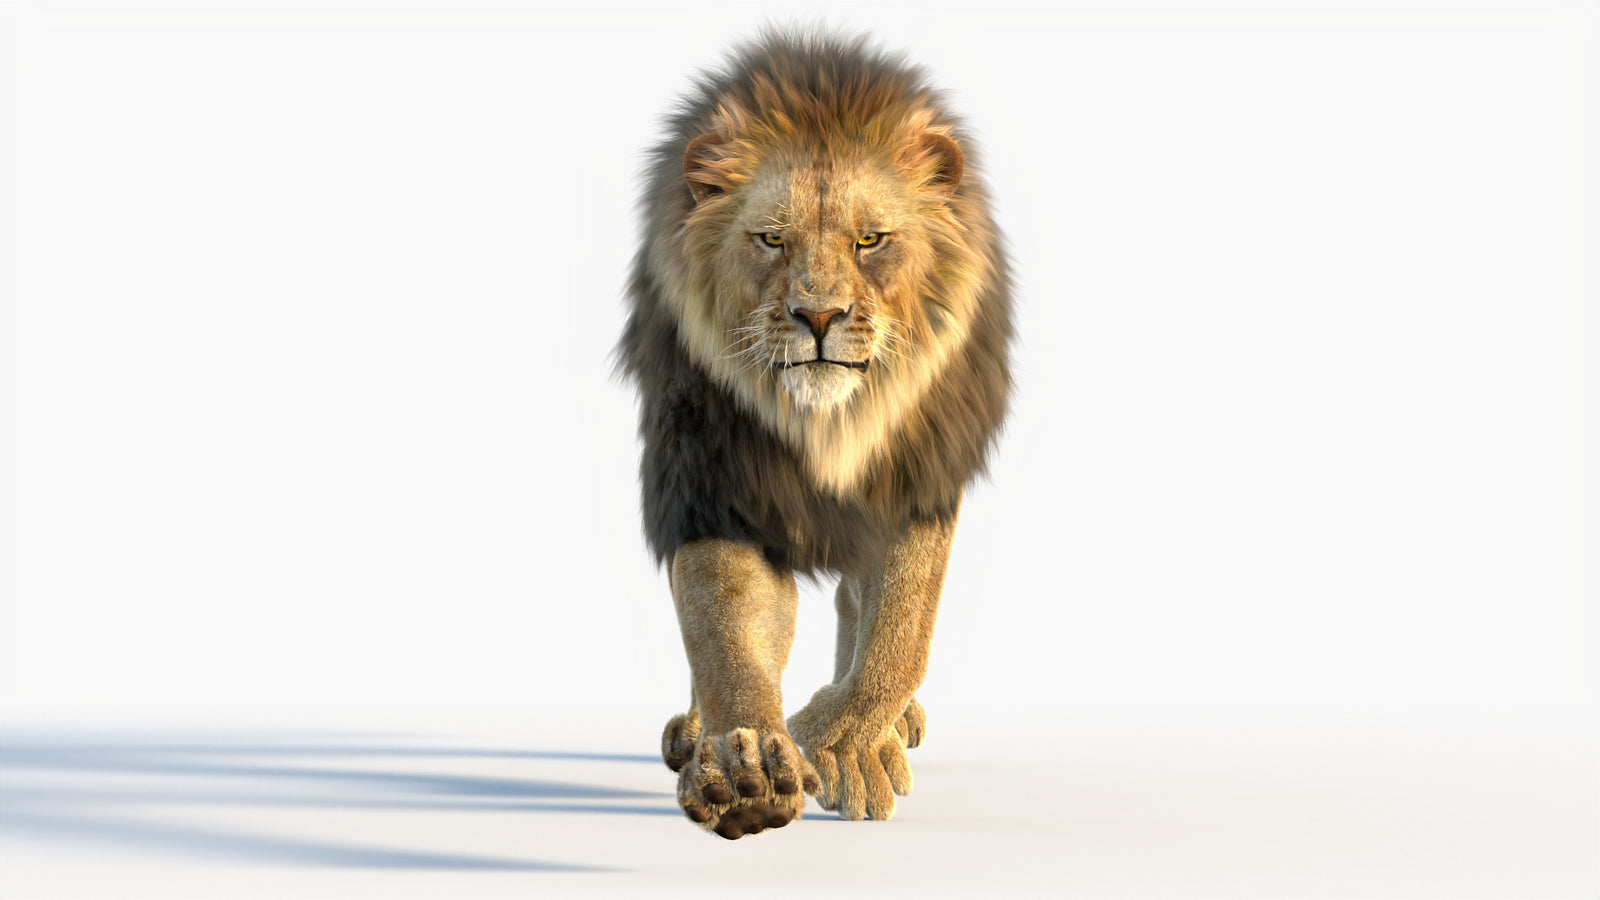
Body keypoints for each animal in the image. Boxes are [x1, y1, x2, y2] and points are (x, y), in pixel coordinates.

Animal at [617, 30, 1012, 839]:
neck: (828, 423)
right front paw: (743, 764)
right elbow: (726, 625)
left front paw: (843, 741)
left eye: (870, 240)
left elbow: (901, 627)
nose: (819, 316)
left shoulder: (918, 475)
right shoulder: (714, 480)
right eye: (772, 239)